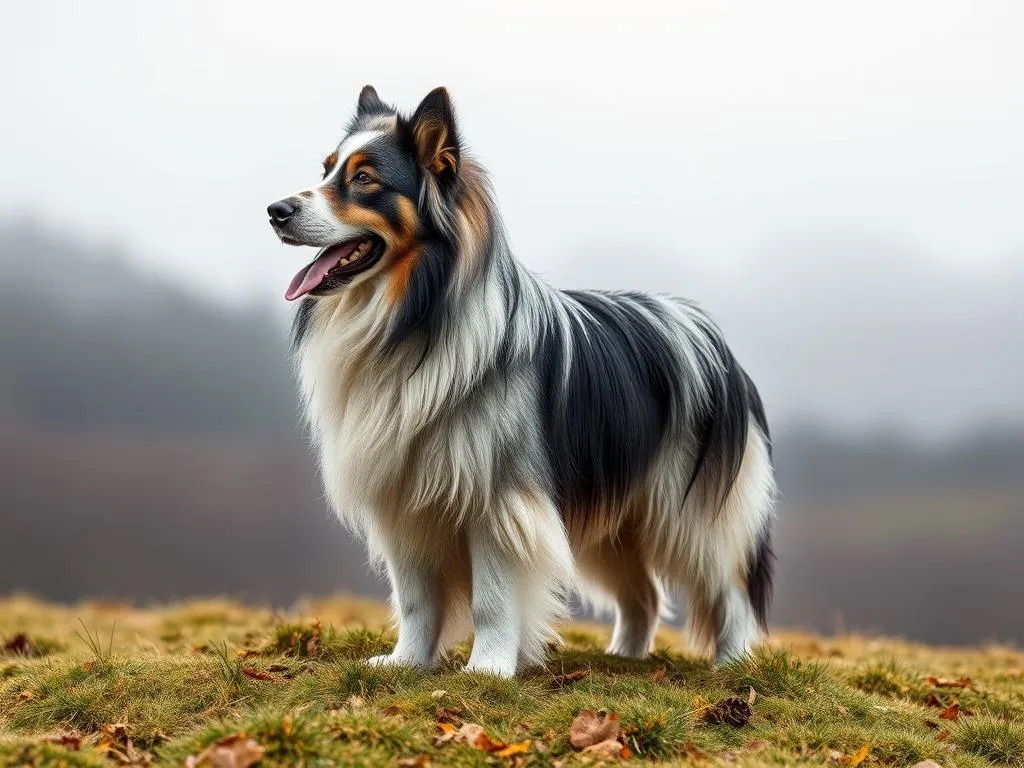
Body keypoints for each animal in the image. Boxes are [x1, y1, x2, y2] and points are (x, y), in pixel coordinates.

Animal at [266, 85, 774, 679]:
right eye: (325, 170)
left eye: (365, 179)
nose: (275, 211)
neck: (413, 317)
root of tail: (718, 343)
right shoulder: (404, 498)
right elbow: (414, 598)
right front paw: (405, 663)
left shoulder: (497, 494)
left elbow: (491, 597)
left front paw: (487, 669)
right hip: (616, 514)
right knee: (643, 595)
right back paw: (624, 657)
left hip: (689, 510)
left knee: (729, 589)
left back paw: (732, 665)